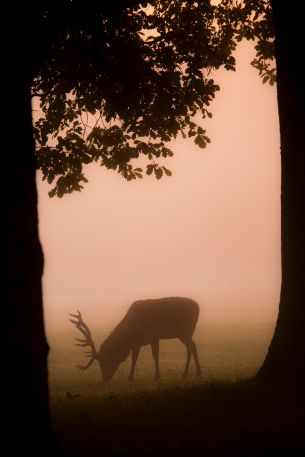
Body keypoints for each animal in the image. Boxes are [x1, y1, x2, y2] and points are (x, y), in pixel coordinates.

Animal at [69, 296, 202, 382]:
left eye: (103, 361)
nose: (105, 379)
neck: (130, 334)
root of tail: (198, 306)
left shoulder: (154, 336)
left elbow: (155, 355)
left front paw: (157, 376)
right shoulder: (136, 343)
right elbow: (134, 358)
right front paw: (130, 376)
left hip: (186, 331)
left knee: (190, 347)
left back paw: (186, 374)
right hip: (184, 334)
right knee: (193, 345)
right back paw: (197, 373)